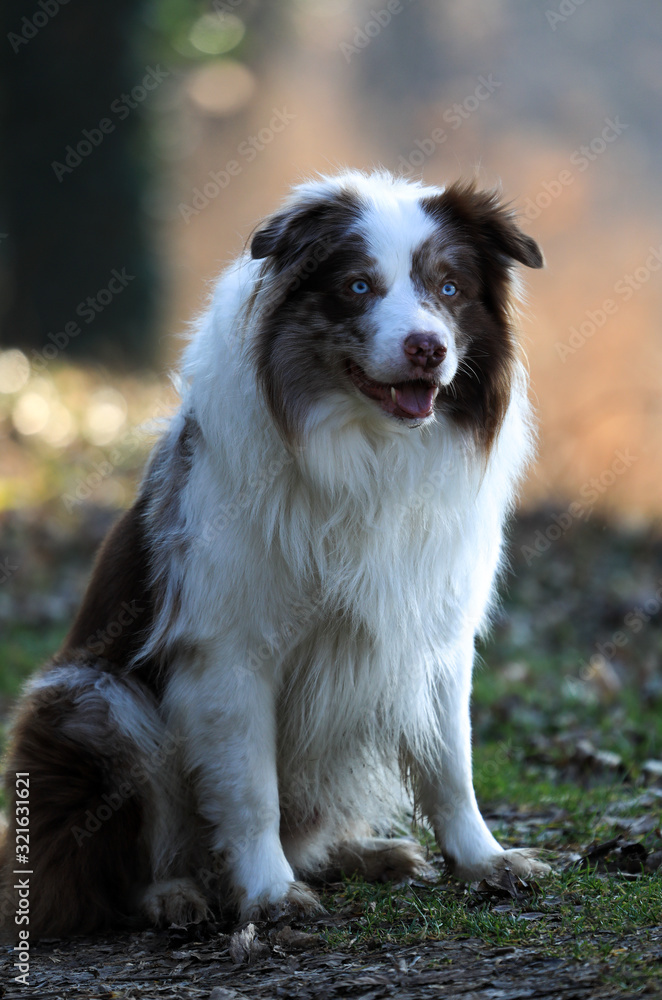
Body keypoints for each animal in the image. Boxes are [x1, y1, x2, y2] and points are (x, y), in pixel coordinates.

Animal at [1, 168, 548, 940]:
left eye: (448, 287)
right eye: (357, 286)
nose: (427, 348)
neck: (366, 449)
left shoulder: (435, 631)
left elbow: (452, 767)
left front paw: (484, 860)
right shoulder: (228, 648)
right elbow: (251, 789)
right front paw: (268, 894)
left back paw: (365, 853)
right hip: (95, 701)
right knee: (112, 868)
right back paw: (174, 894)